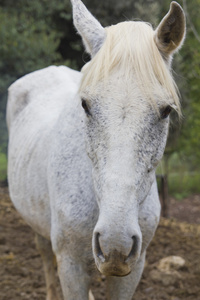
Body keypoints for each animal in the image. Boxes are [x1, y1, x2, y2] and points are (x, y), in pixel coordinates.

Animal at [7, 1, 185, 298]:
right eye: (85, 105)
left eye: (165, 111)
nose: (116, 242)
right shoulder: (70, 265)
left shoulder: (133, 268)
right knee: (44, 257)